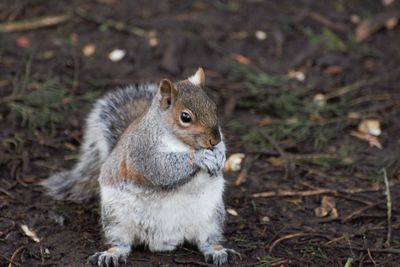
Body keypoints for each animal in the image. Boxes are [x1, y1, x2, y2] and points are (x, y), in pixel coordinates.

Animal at [41, 68, 239, 266]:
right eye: (185, 117)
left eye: (214, 108)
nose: (215, 140)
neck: (181, 142)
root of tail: (165, 241)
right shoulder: (142, 151)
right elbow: (161, 168)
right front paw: (200, 157)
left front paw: (220, 153)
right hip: (115, 218)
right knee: (121, 242)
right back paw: (113, 254)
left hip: (211, 217)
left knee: (207, 240)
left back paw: (217, 251)